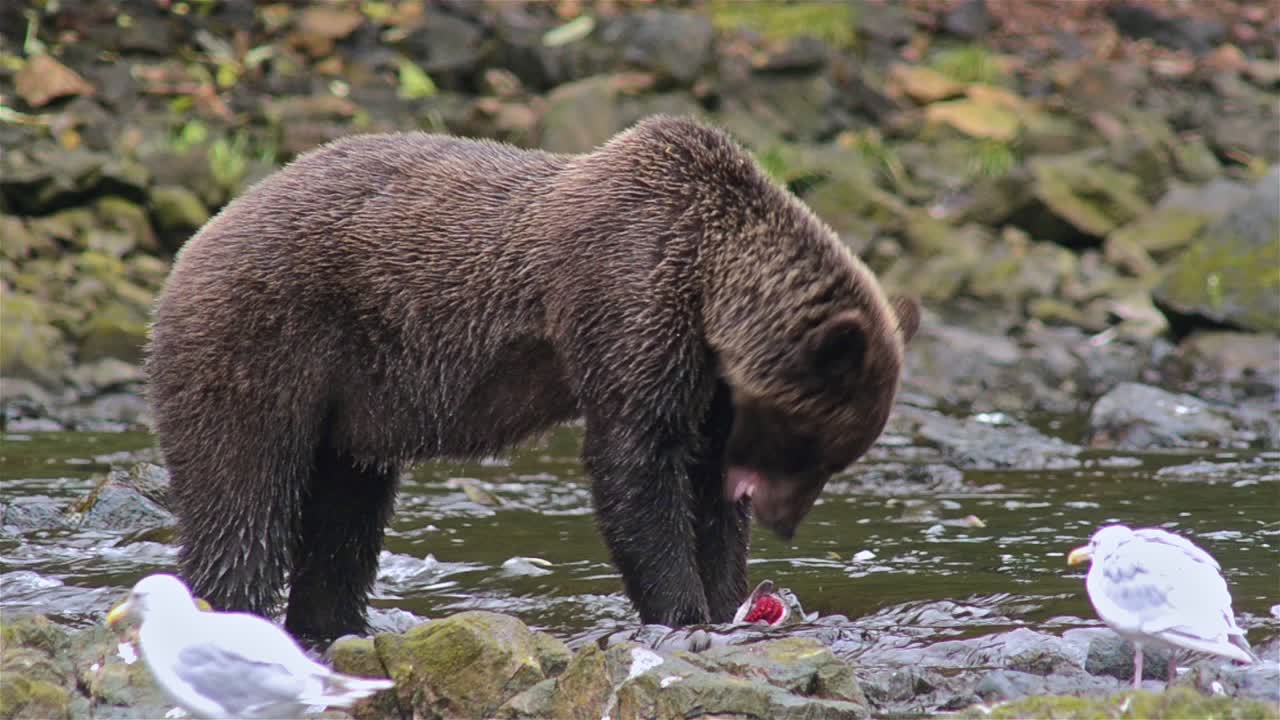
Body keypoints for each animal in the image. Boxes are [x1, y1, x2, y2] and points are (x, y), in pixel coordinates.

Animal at [147, 115, 918, 643]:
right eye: (818, 449)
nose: (786, 524)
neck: (709, 284)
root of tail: (193, 245)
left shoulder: (706, 379)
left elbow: (704, 487)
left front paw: (733, 599)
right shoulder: (629, 302)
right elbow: (635, 466)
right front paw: (683, 609)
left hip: (348, 410)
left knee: (345, 522)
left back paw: (332, 624)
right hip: (262, 347)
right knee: (243, 503)